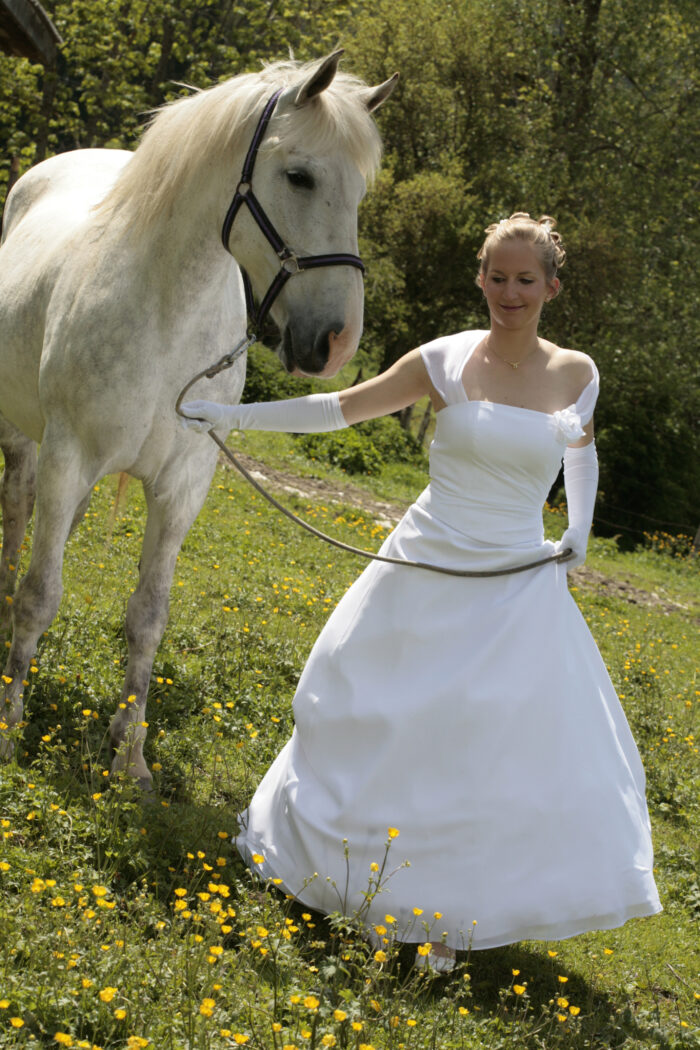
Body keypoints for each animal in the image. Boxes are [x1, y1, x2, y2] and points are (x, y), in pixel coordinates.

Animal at [0, 50, 397, 788]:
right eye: (299, 176)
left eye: (361, 192)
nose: (336, 342)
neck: (167, 312)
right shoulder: (69, 456)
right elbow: (41, 594)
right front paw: (9, 730)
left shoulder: (183, 485)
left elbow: (148, 617)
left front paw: (130, 757)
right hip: (22, 434)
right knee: (17, 511)